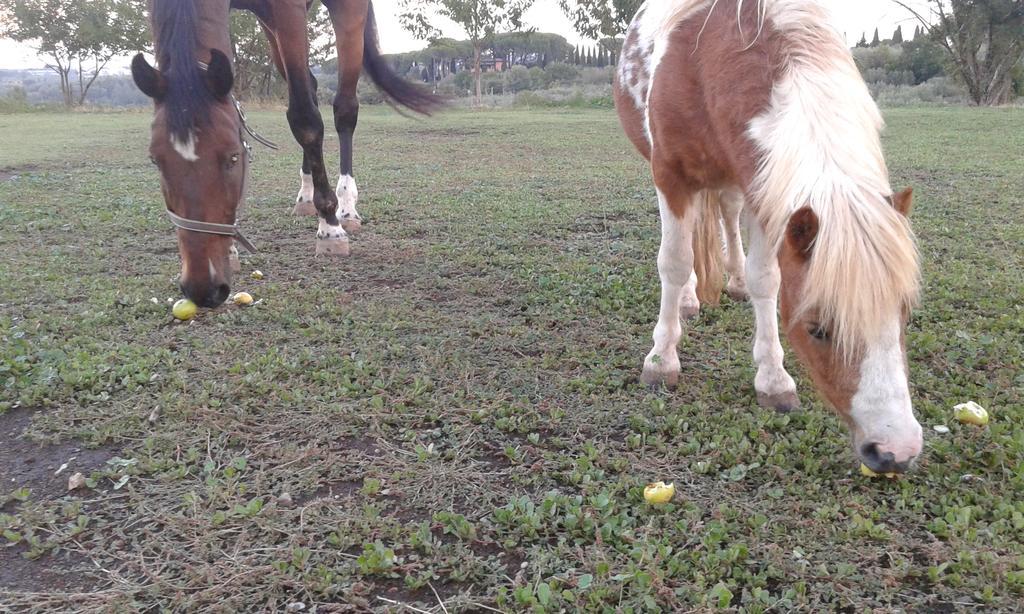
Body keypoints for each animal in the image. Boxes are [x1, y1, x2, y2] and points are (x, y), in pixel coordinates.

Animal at [130, 0, 438, 307]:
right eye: (155, 160)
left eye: (233, 157)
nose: (202, 288)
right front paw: (231, 250)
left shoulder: (289, 9)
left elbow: (306, 118)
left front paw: (330, 225)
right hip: (271, 27)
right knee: (311, 87)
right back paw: (307, 195)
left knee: (344, 109)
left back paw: (345, 205)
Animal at [614, 0, 929, 474]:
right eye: (818, 329)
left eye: (904, 314)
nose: (896, 451)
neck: (702, 58)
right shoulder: (669, 176)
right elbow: (674, 261)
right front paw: (661, 358)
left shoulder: (766, 190)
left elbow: (766, 279)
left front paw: (773, 378)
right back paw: (687, 300)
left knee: (727, 216)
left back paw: (733, 282)